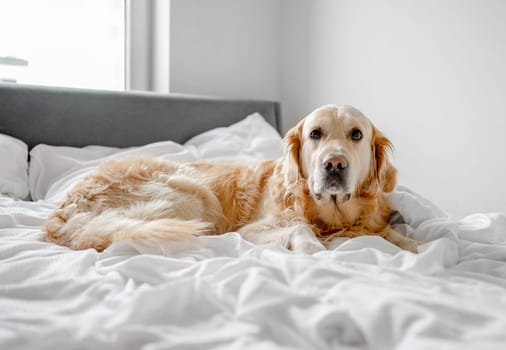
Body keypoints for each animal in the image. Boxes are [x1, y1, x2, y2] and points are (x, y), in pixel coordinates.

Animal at [45, 105, 422, 253]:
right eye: (316, 134)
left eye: (356, 135)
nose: (334, 165)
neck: (331, 217)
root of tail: (65, 207)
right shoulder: (253, 229)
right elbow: (299, 228)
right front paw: (312, 245)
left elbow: (393, 236)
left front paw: (414, 245)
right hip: (192, 193)